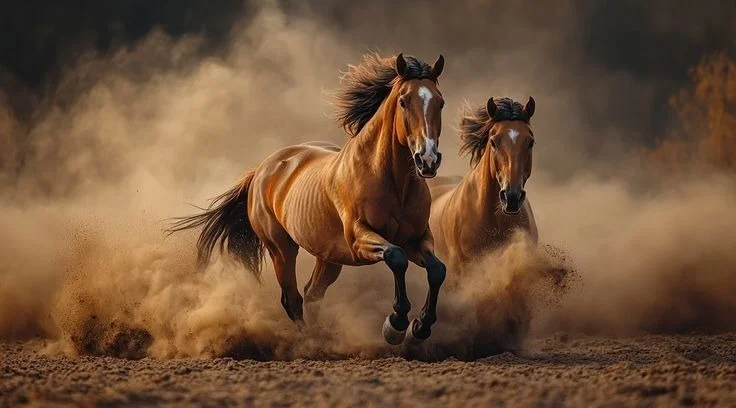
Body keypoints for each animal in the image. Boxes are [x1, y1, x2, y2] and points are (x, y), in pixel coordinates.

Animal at [167, 53, 448, 345]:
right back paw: (310, 342)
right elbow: (396, 257)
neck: (391, 181)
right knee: (293, 298)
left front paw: (420, 326)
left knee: (313, 293)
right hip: (281, 248)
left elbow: (437, 270)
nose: (428, 159)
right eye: (404, 101)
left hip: (329, 256)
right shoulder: (359, 238)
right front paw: (396, 324)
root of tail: (261, 170)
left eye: (440, 102)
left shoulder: (417, 238)